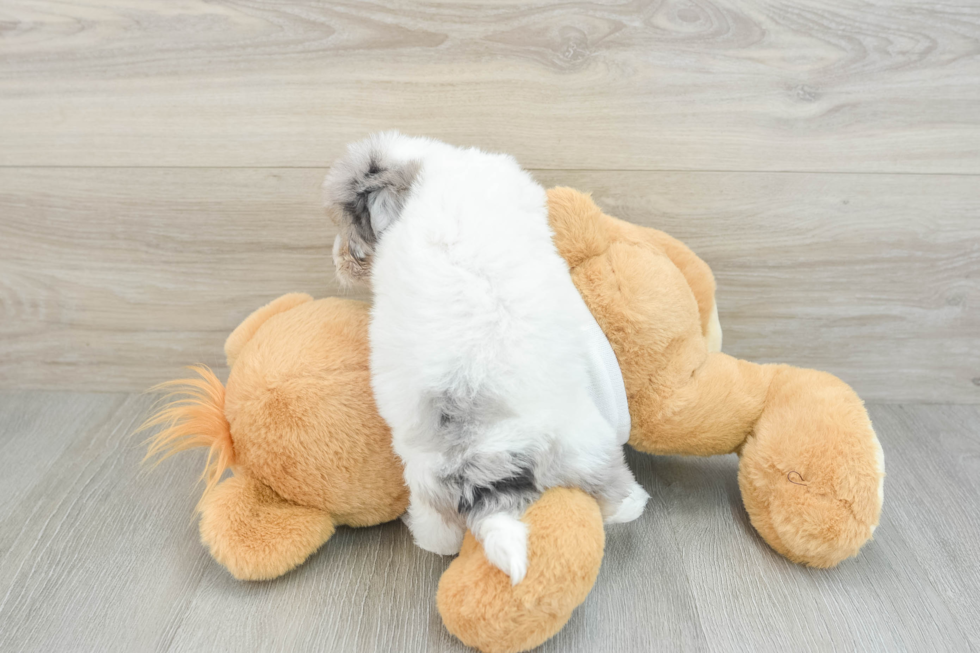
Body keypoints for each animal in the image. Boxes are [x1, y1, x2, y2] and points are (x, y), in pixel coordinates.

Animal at [324, 135, 652, 584]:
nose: (340, 260)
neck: (421, 165)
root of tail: (481, 455)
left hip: (430, 481)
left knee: (438, 529)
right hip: (589, 444)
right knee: (614, 494)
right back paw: (634, 502)